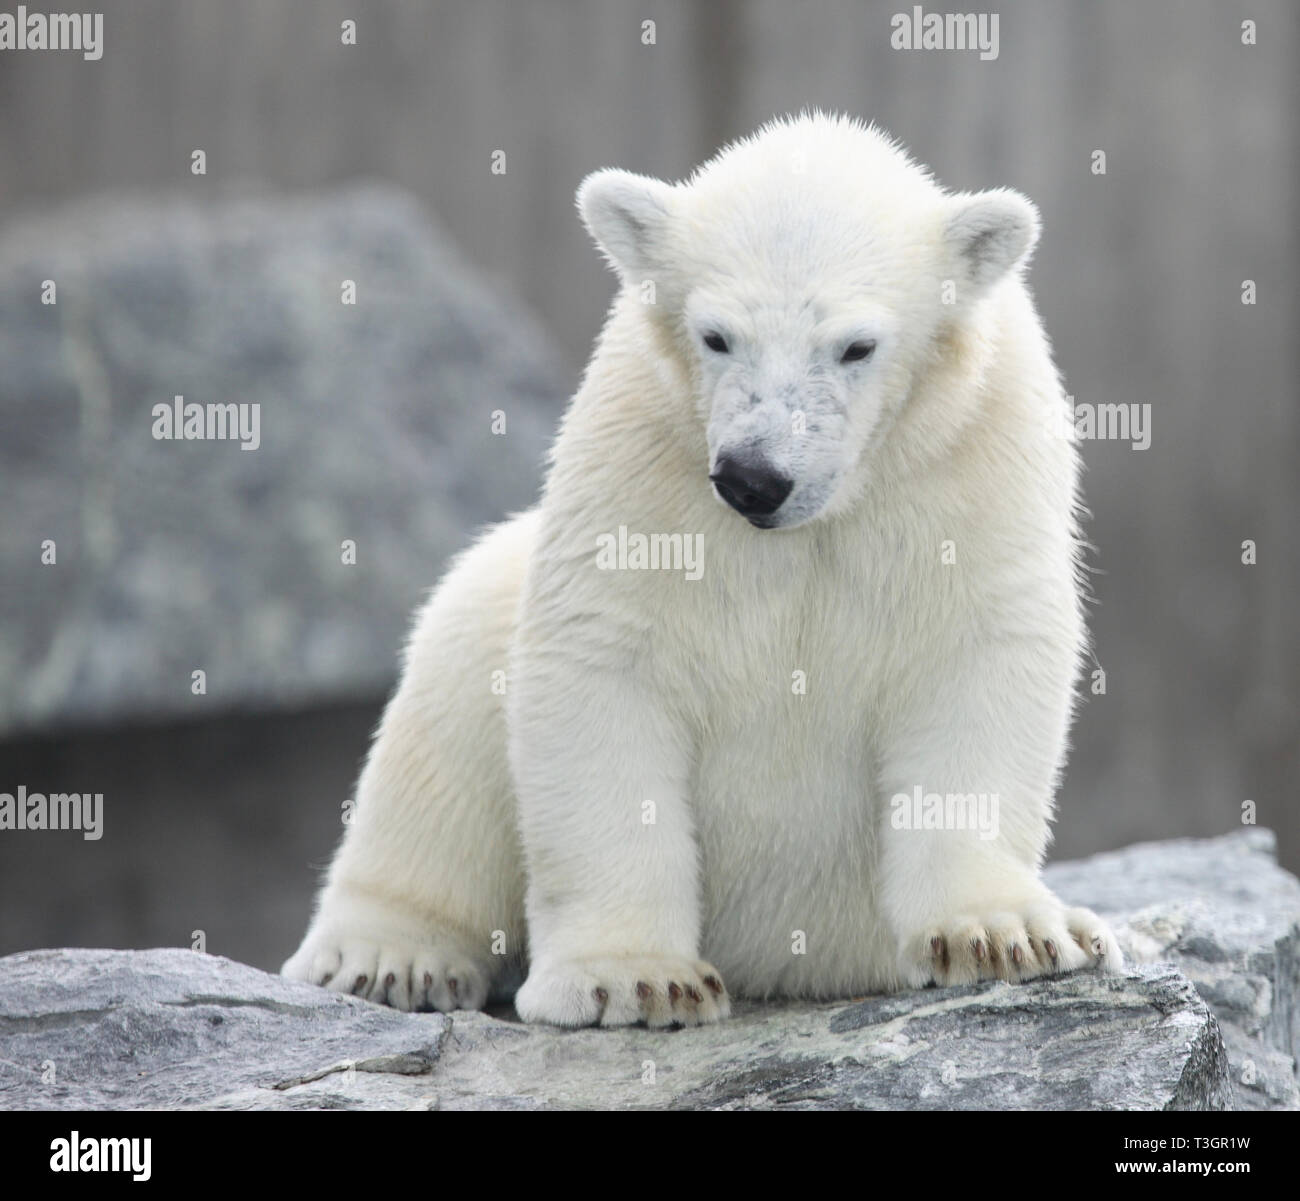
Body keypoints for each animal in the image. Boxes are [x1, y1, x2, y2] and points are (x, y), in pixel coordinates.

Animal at [282, 112, 1118, 1029]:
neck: (817, 518)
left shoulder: (972, 463)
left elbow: (979, 656)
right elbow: (602, 665)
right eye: (717, 336)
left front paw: (1006, 933)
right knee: (449, 695)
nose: (755, 476)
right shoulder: (644, 463)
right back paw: (389, 956)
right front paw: (635, 977)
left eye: (856, 346)